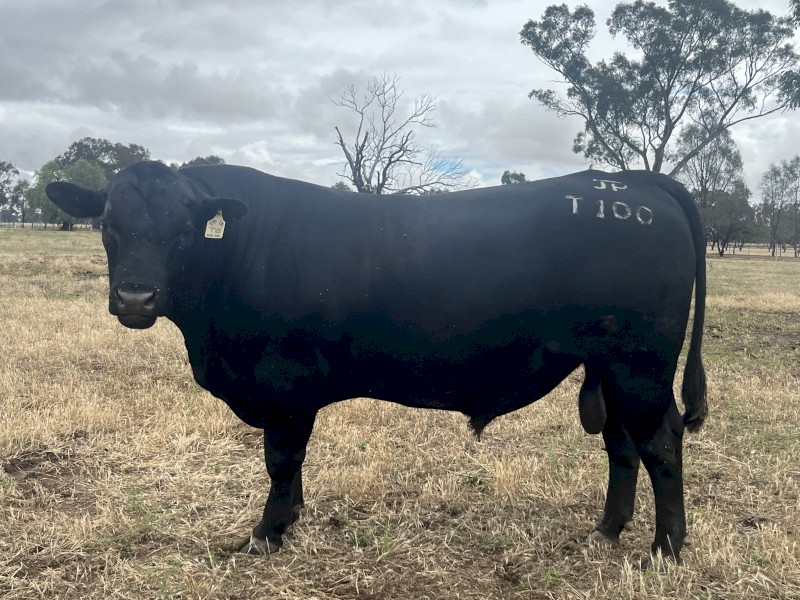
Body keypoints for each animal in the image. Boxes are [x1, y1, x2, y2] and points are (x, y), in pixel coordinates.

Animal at [46, 161, 707, 562]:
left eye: (183, 230)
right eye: (108, 223)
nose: (135, 298)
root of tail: (630, 181)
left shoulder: (284, 382)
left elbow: (280, 460)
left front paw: (266, 533)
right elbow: (290, 464)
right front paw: (293, 517)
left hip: (641, 367)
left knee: (661, 443)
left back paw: (665, 549)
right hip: (612, 369)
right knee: (622, 445)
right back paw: (609, 528)